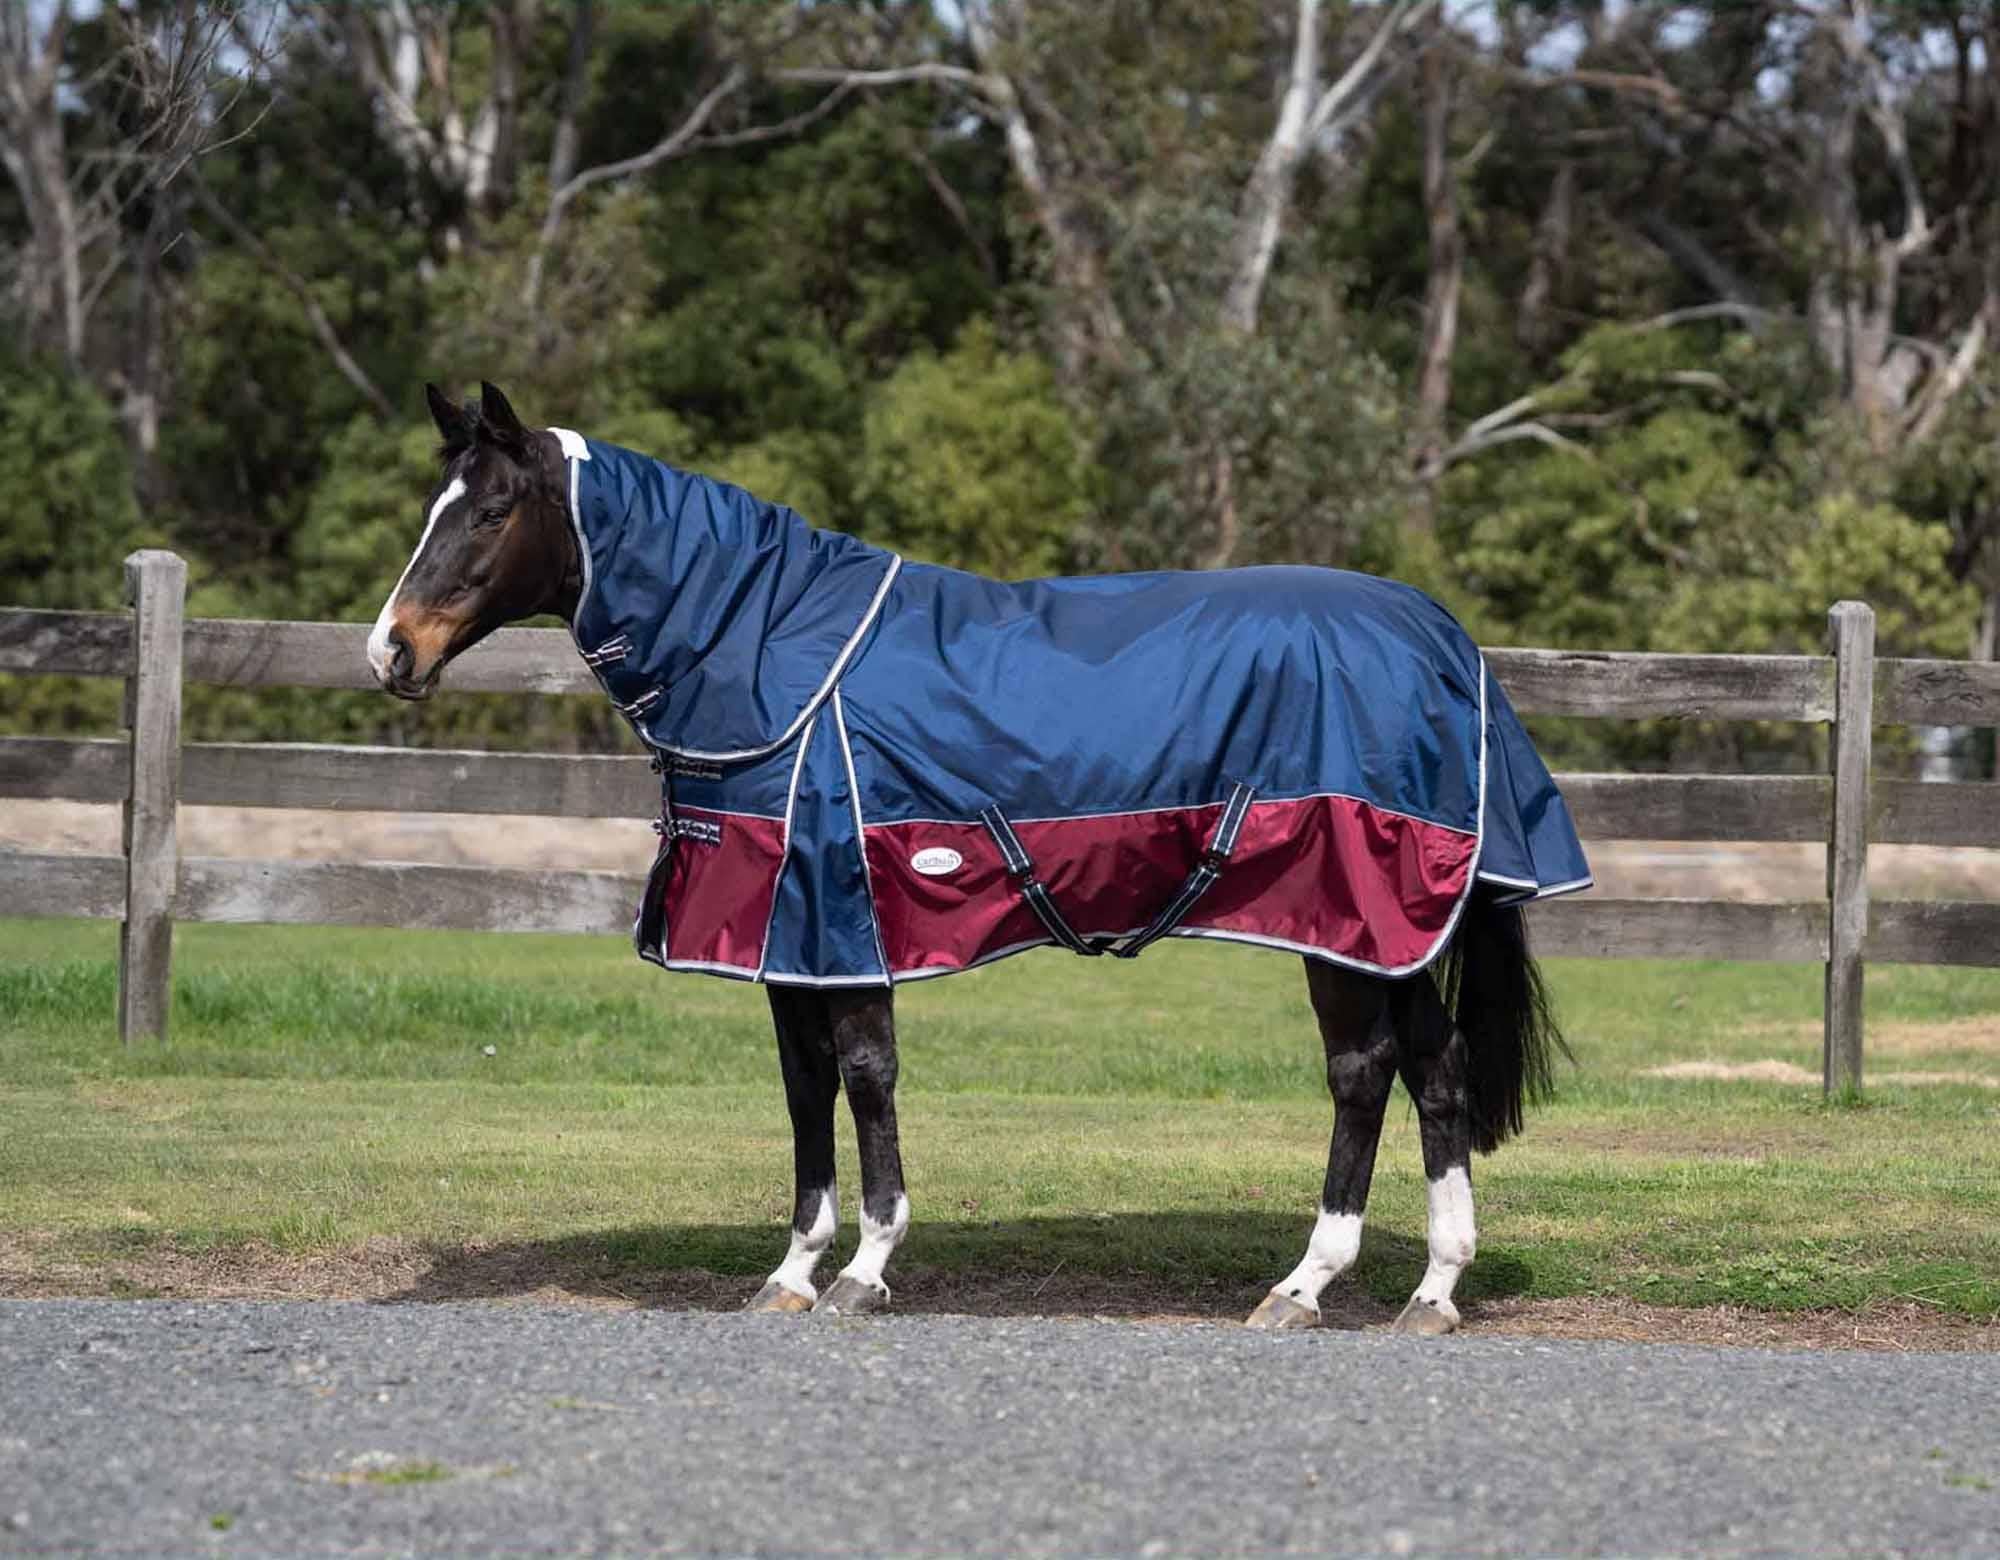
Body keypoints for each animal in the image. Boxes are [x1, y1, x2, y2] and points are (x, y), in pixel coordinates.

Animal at [369, 381, 1589, 1333]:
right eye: (429, 507)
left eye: (490, 509)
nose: (390, 652)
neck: (770, 650)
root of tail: (1443, 643)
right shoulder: (785, 938)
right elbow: (804, 1088)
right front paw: (789, 1274)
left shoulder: (841, 920)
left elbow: (865, 1080)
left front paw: (863, 1271)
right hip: (1391, 928)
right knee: (1435, 1072)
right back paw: (1432, 1291)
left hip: (1339, 915)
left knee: (1362, 1073)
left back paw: (1303, 1285)